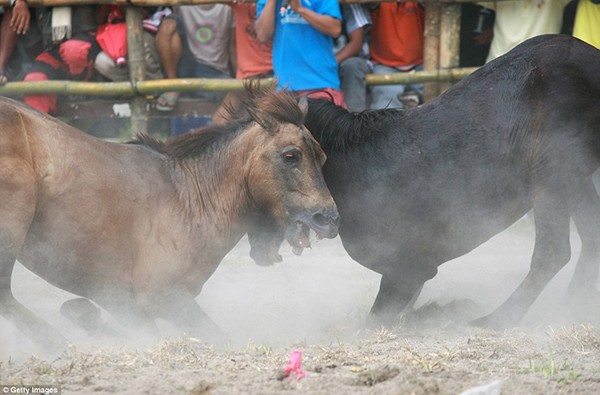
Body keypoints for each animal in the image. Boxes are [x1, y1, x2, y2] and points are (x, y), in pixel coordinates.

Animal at [0, 85, 338, 352]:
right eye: (291, 155)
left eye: (322, 156)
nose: (329, 218)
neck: (191, 197)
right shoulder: (162, 297)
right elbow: (214, 335)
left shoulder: (123, 303)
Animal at [251, 36, 600, 328]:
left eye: (286, 156)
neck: (353, 166)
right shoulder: (409, 277)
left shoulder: (408, 270)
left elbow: (373, 322)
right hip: (576, 177)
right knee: (590, 240)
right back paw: (571, 309)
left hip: (554, 173)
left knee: (552, 252)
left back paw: (497, 320)